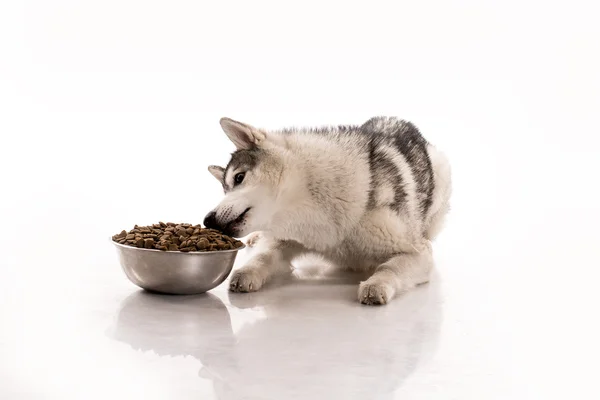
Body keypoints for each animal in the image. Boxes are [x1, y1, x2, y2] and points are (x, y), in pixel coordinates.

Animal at [205, 117, 450, 304]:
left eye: (239, 178)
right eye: (225, 190)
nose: (208, 219)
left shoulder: (419, 251)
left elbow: (390, 267)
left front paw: (376, 284)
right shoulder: (286, 239)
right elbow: (264, 254)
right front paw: (246, 271)